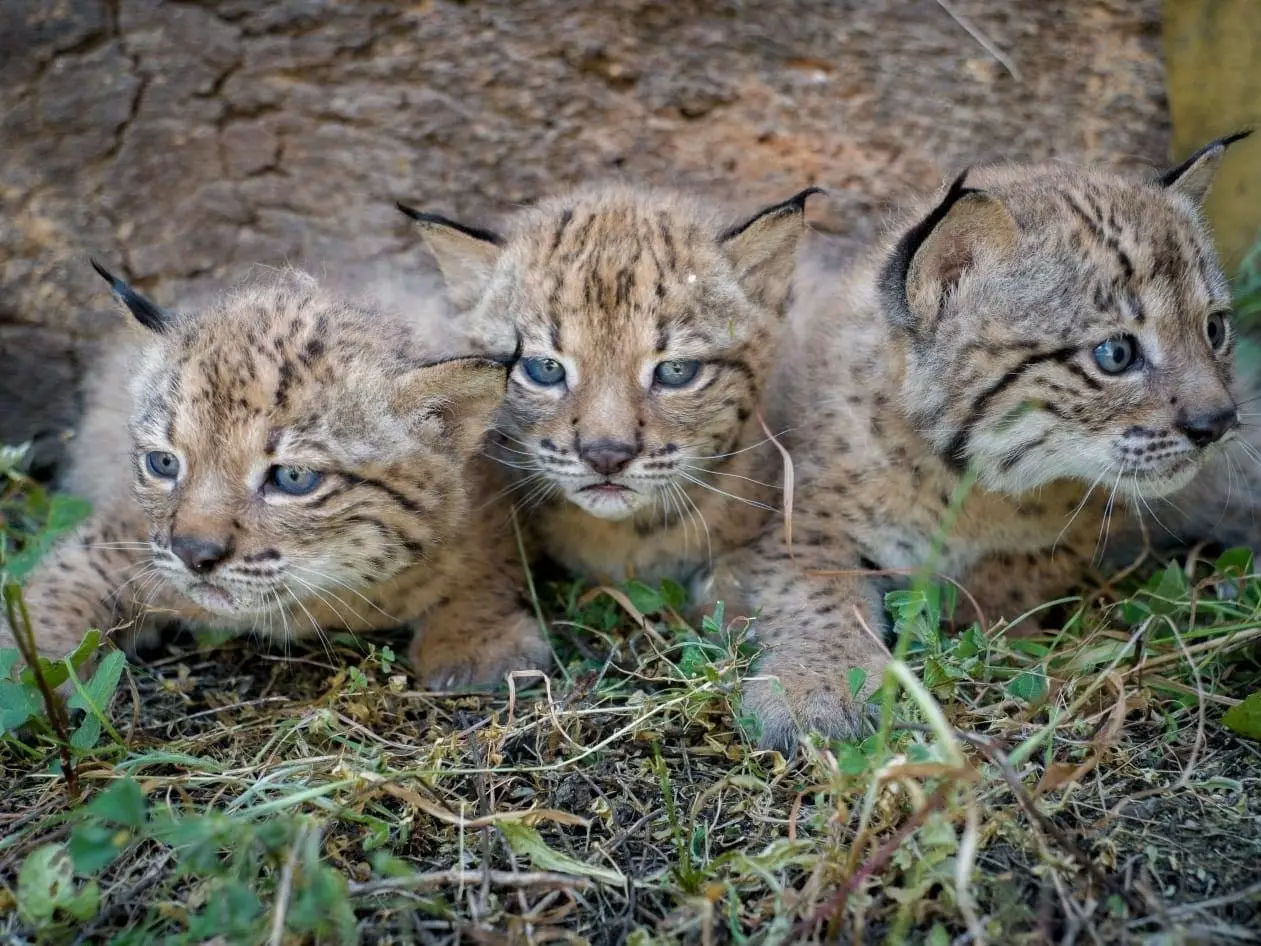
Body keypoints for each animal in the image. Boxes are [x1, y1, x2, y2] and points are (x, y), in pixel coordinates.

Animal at [2, 263, 549, 691]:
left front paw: (476, 642)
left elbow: (486, 568)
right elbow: (58, 591)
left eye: (292, 477)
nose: (193, 554)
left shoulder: (490, 504)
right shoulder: (121, 534)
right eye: (164, 464)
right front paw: (25, 665)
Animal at [711, 134, 1250, 756]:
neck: (964, 479)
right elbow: (818, 592)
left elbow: (1008, 573)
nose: (1218, 422)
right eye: (1116, 354)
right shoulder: (789, 523)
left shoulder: (1069, 538)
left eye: (1214, 329)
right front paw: (815, 690)